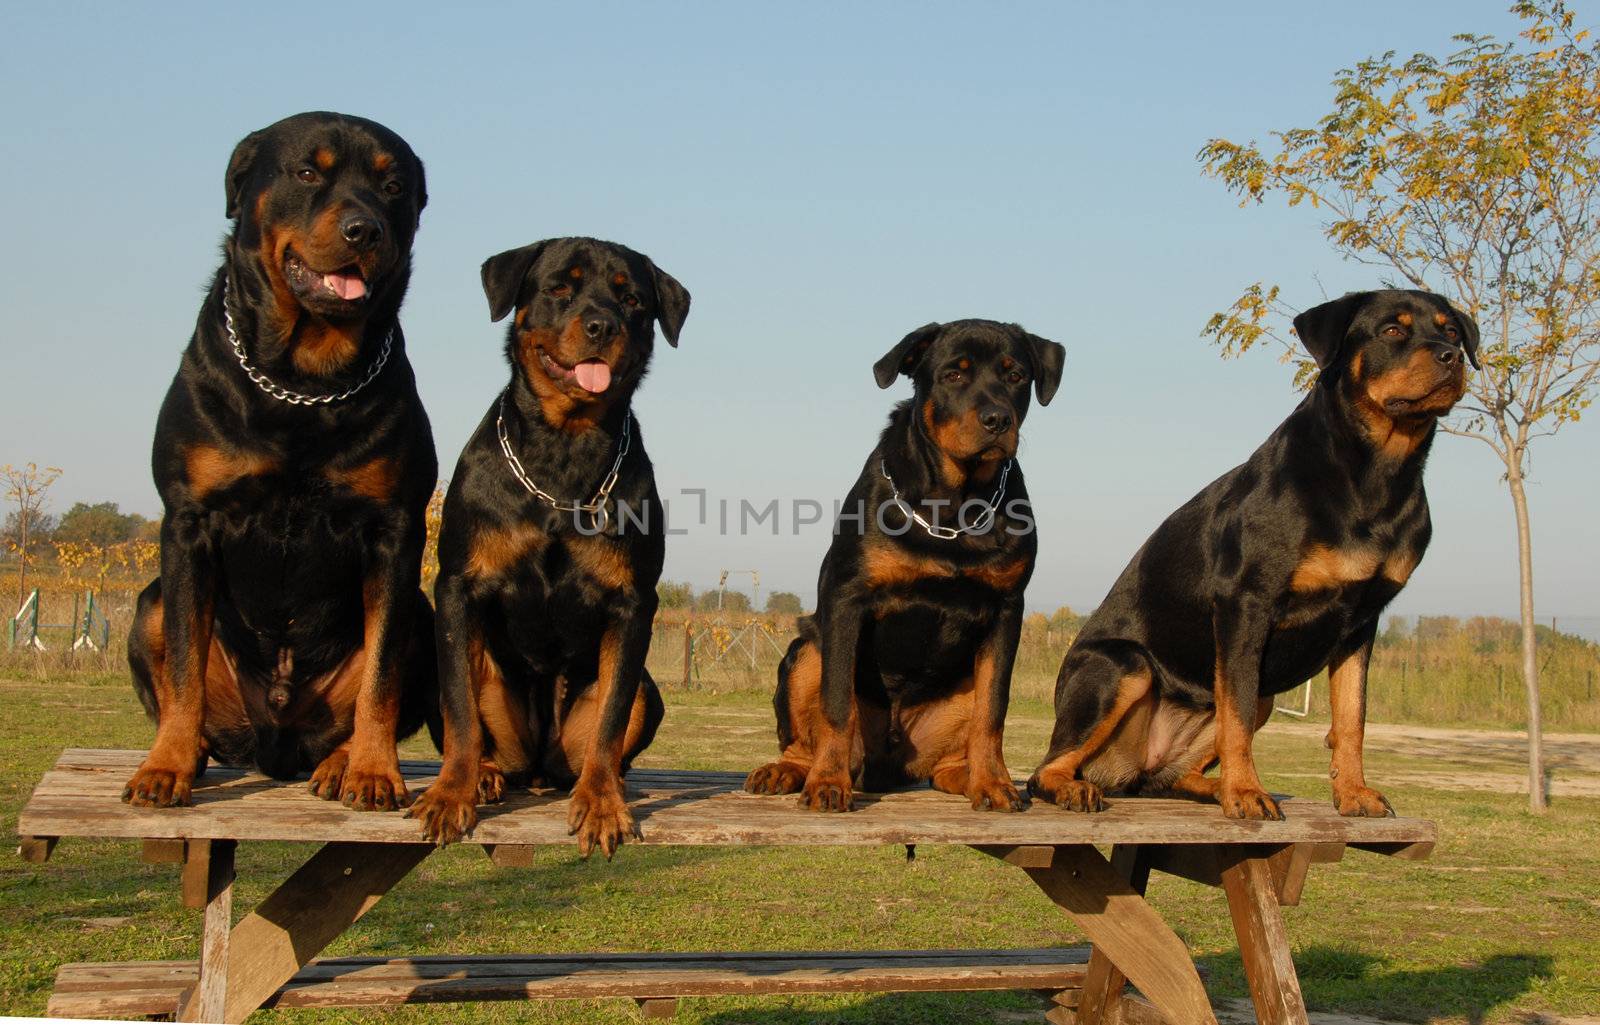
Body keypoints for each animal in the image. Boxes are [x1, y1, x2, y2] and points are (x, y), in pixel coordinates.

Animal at [121, 110, 441, 805]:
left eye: (393, 187)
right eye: (306, 173)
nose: (364, 228)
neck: (305, 380)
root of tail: (277, 745)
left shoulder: (394, 531)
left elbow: (380, 675)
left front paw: (373, 771)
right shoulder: (189, 524)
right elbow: (183, 665)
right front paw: (165, 766)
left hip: (425, 618)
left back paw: (340, 763)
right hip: (148, 605)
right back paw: (190, 752)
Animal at [406, 236, 688, 850]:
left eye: (632, 299)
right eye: (560, 287)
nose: (602, 324)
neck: (565, 450)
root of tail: (537, 766)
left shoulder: (633, 603)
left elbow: (611, 718)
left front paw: (602, 803)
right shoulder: (458, 587)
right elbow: (460, 711)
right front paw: (451, 794)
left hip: (647, 691)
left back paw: (605, 781)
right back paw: (486, 775)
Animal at [745, 319, 1062, 815]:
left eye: (1016, 376)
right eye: (954, 374)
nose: (997, 420)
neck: (954, 506)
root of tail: (886, 766)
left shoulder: (1007, 609)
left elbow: (993, 710)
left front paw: (993, 782)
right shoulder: (848, 599)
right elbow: (836, 704)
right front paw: (828, 783)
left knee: (951, 756)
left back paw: (969, 777)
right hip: (805, 652)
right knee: (804, 735)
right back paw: (788, 771)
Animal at [1030, 291, 1478, 818]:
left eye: (1452, 332)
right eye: (1392, 330)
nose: (1451, 357)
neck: (1376, 473)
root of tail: (1125, 767)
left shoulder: (1362, 621)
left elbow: (1351, 719)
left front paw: (1353, 794)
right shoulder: (1247, 603)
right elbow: (1237, 714)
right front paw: (1245, 793)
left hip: (1255, 695)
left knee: (1169, 777)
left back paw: (1211, 789)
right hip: (1123, 665)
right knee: (1047, 768)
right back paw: (1077, 788)